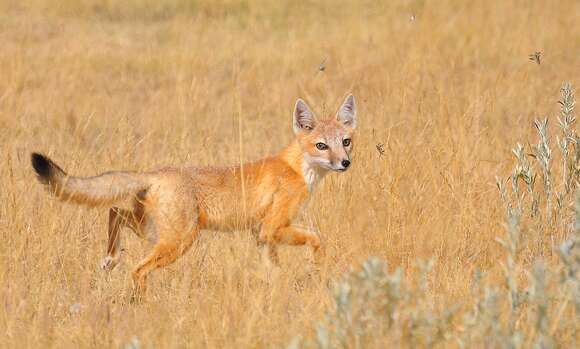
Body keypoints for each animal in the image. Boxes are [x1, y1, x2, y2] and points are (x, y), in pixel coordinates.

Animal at [32, 94, 358, 296]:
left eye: (345, 141)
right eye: (321, 146)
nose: (345, 163)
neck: (295, 168)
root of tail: (157, 172)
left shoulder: (261, 236)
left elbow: (274, 271)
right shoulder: (272, 228)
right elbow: (318, 239)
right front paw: (317, 271)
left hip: (153, 232)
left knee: (114, 211)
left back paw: (110, 258)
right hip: (178, 241)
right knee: (138, 268)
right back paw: (140, 304)